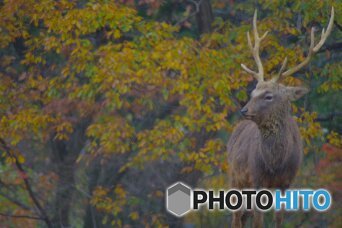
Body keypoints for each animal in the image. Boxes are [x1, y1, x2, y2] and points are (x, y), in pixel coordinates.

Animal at [227, 7, 334, 228]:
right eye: (252, 92)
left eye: (268, 95)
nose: (244, 110)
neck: (275, 164)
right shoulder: (257, 179)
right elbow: (258, 221)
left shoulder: (286, 182)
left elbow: (278, 218)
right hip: (234, 176)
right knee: (236, 216)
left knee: (243, 215)